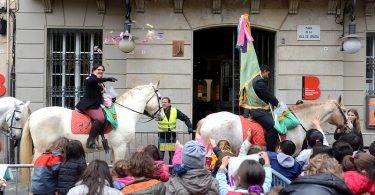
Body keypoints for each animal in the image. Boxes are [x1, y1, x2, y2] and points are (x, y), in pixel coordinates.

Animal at [20, 81, 164, 164]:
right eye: (160, 97)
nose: (162, 116)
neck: (124, 113)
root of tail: (33, 115)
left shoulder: (114, 148)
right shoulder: (120, 147)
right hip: (41, 149)